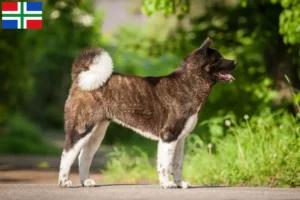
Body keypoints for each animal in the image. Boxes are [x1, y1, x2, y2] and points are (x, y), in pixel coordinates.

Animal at [58, 38, 237, 189]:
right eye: (219, 59)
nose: (235, 61)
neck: (189, 83)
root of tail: (81, 78)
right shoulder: (168, 136)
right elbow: (165, 164)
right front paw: (167, 184)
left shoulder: (180, 139)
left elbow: (177, 164)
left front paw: (180, 183)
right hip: (81, 128)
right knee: (67, 154)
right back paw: (64, 181)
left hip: (97, 132)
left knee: (84, 156)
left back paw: (85, 181)